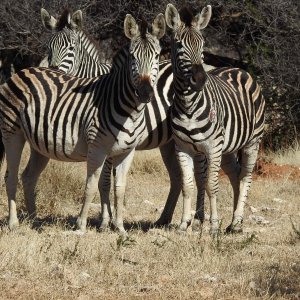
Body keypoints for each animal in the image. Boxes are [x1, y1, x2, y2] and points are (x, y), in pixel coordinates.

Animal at [0, 13, 166, 234]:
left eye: (156, 56)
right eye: (133, 57)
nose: (146, 93)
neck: (130, 111)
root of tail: (22, 71)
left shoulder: (126, 152)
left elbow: (120, 189)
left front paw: (120, 227)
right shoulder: (97, 149)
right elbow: (91, 186)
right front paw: (81, 226)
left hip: (39, 143)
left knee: (28, 177)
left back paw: (34, 221)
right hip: (12, 133)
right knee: (10, 176)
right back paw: (14, 223)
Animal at [164, 4, 264, 234]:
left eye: (202, 45)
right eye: (179, 45)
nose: (200, 79)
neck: (188, 106)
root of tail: (239, 69)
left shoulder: (213, 147)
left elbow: (211, 185)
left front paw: (213, 226)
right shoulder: (183, 147)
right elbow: (188, 185)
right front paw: (183, 224)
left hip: (251, 141)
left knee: (246, 177)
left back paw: (236, 222)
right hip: (228, 149)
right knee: (235, 175)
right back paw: (234, 222)